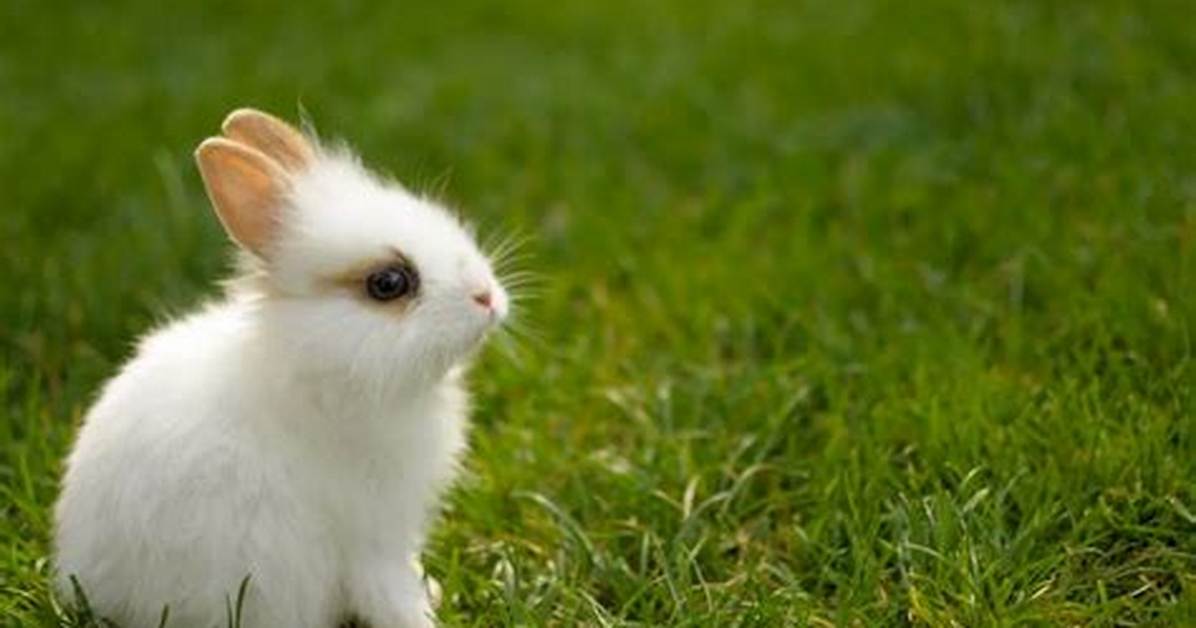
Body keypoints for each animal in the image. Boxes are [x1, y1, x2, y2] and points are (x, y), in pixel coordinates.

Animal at [53, 108, 509, 628]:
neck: (318, 369)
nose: (488, 297)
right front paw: (423, 617)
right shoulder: (371, 538)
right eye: (388, 283)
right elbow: (389, 592)